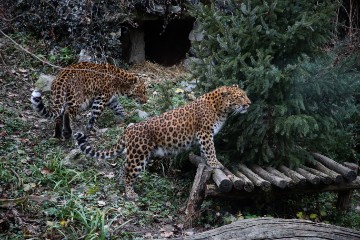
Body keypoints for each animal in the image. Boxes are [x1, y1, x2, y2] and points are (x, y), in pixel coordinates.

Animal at [75, 84, 252, 199]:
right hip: (139, 156)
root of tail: (128, 130)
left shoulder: (204, 135)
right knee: (129, 172)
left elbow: (204, 151)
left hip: (134, 154)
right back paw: (131, 194)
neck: (221, 109)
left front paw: (206, 161)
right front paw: (216, 163)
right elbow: (210, 149)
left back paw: (122, 184)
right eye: (239, 96)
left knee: (123, 167)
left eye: (245, 94)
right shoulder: (205, 133)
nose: (249, 103)